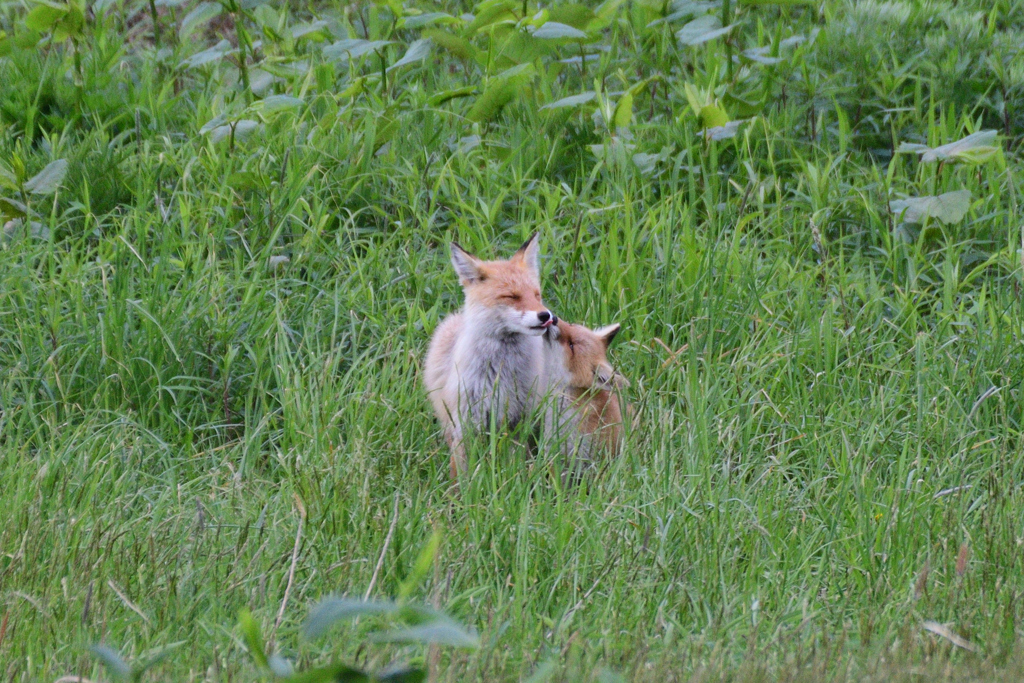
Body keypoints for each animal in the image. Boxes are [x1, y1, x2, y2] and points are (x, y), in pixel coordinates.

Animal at [421, 232, 557, 479]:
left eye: (536, 295)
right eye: (511, 296)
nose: (546, 316)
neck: (501, 370)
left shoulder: (517, 418)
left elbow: (515, 463)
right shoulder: (464, 420)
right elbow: (462, 474)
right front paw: (462, 490)